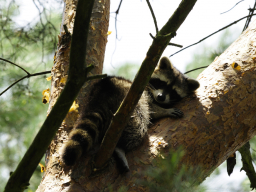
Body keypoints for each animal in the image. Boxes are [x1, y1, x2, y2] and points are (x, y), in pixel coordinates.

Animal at [60, 57, 200, 172]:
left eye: (173, 91)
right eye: (162, 83)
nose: (161, 97)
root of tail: (104, 88)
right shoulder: (143, 92)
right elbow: (151, 109)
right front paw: (164, 111)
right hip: (128, 99)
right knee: (140, 122)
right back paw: (120, 147)